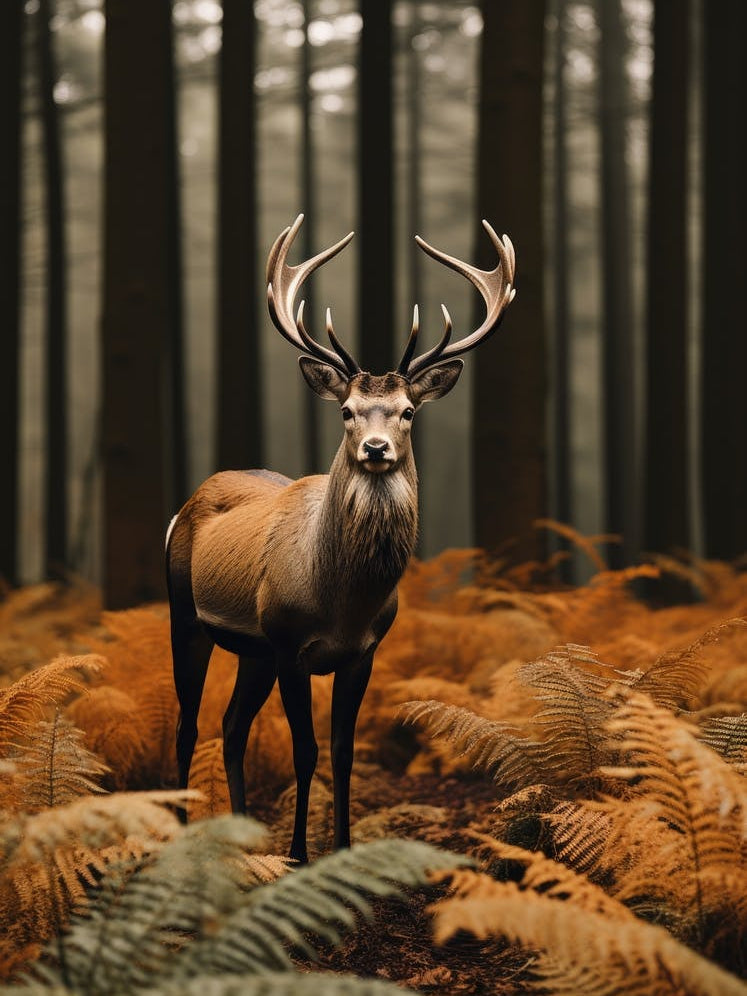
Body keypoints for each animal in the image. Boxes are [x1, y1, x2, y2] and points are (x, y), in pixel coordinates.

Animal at [166, 214, 516, 862]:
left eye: (407, 411)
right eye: (348, 410)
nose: (375, 449)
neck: (341, 601)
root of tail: (187, 504)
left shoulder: (363, 652)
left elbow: (345, 754)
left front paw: (344, 849)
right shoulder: (288, 642)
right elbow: (305, 752)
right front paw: (300, 853)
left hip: (251, 650)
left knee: (231, 726)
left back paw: (242, 833)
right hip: (186, 615)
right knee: (186, 724)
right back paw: (176, 832)